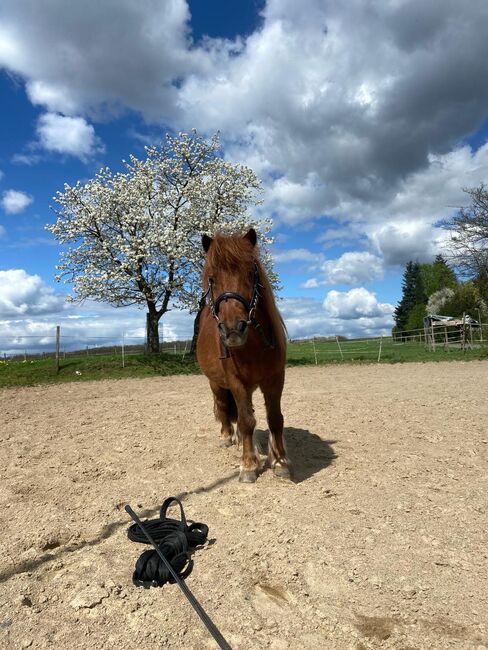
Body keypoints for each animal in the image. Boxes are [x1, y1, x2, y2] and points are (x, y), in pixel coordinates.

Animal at [196, 228, 292, 480]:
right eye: (212, 278)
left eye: (251, 272)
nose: (232, 329)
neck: (253, 347)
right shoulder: (236, 382)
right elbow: (247, 420)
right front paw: (249, 465)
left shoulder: (275, 379)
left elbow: (274, 418)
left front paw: (280, 461)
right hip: (216, 383)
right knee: (224, 407)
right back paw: (227, 436)